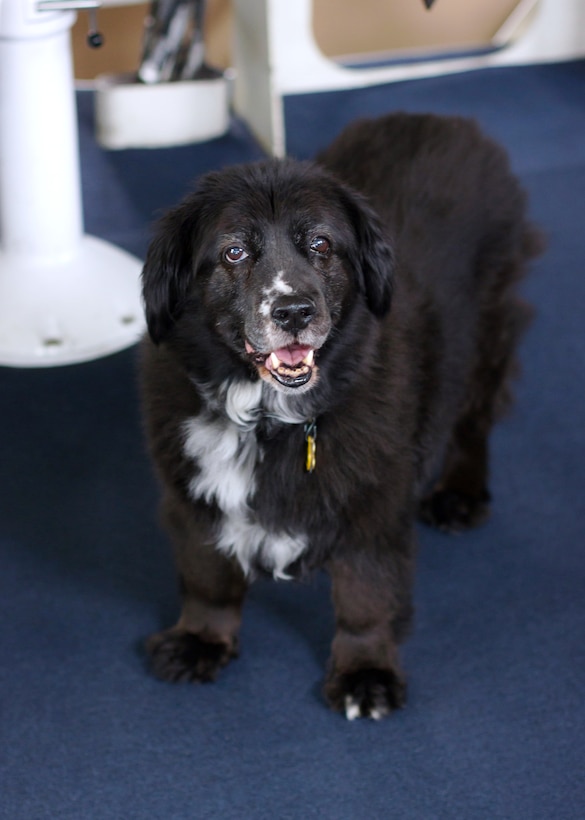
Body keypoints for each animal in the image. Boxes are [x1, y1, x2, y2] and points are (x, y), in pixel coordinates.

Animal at [139, 113, 540, 716]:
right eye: (234, 253)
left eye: (321, 244)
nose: (295, 311)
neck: (267, 418)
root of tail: (447, 119)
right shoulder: (192, 492)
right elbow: (207, 575)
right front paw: (200, 640)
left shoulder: (374, 502)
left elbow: (364, 595)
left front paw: (365, 672)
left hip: (486, 331)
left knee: (473, 421)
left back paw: (461, 493)